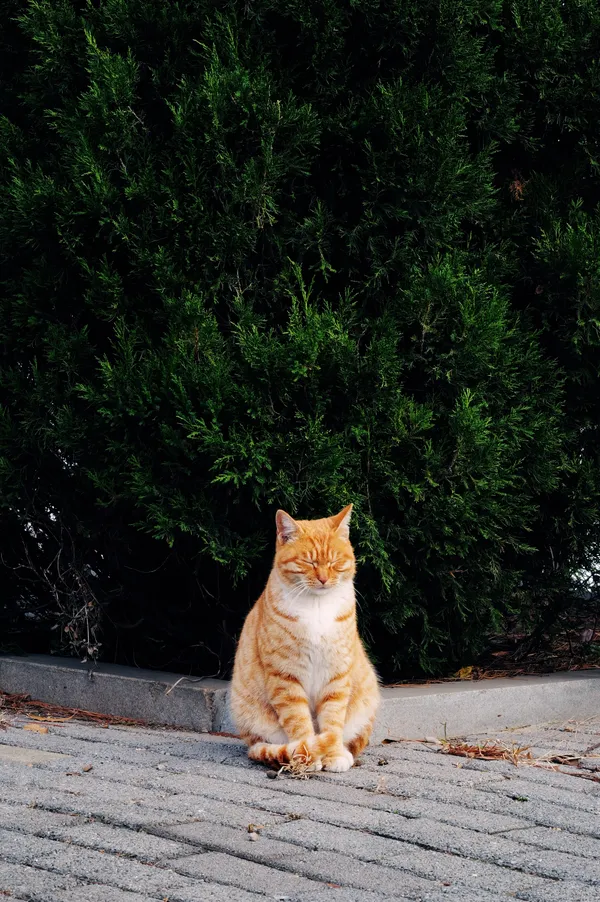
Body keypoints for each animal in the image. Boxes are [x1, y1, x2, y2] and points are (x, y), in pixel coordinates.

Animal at [230, 504, 380, 772]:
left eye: (334, 561)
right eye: (308, 561)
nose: (323, 579)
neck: (317, 608)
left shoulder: (336, 675)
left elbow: (333, 719)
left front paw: (333, 753)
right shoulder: (285, 677)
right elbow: (298, 721)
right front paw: (308, 754)